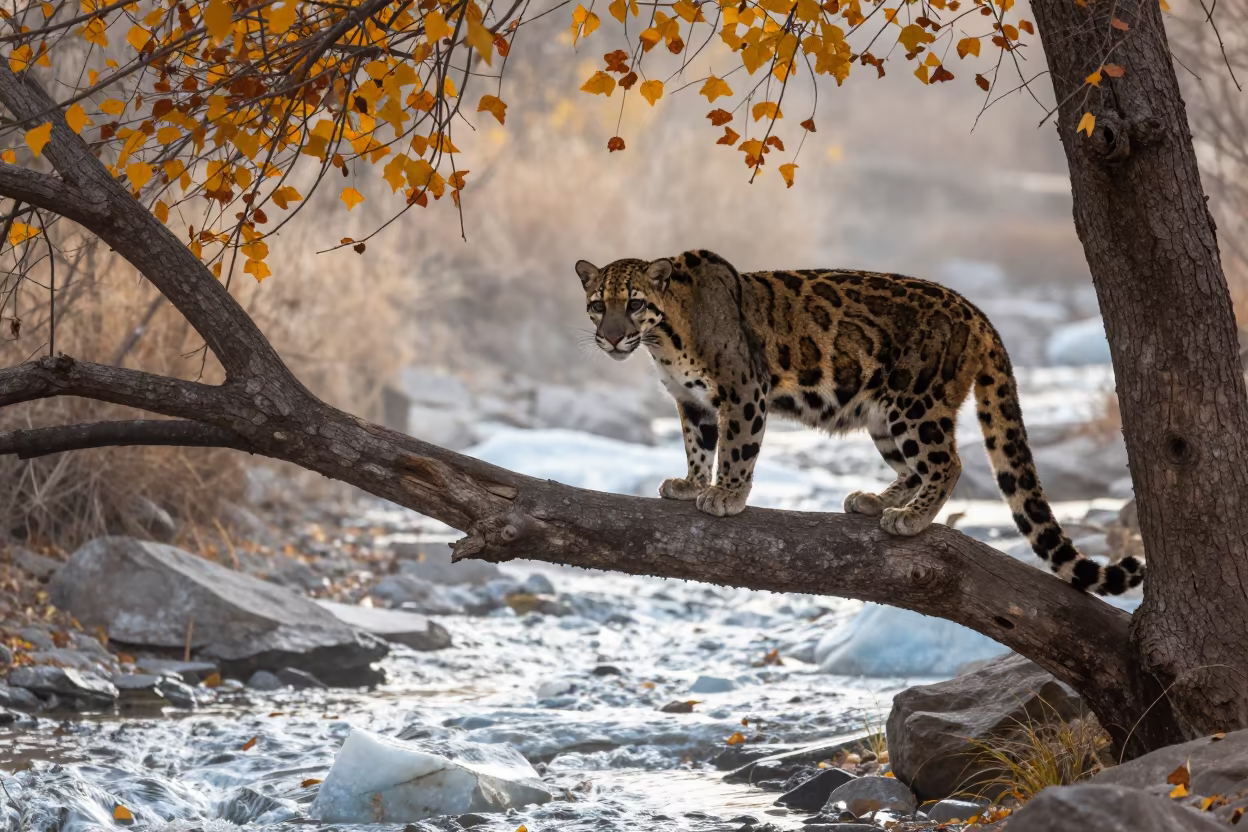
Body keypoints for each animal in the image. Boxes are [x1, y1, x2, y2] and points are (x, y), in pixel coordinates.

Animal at [574, 249, 1145, 596]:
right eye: (598, 305)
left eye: (635, 304)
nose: (610, 337)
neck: (663, 339)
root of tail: (976, 313)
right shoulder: (691, 403)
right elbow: (698, 444)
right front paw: (691, 483)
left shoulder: (743, 390)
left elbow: (736, 447)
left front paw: (725, 495)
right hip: (883, 416)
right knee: (915, 467)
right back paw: (876, 501)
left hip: (916, 404)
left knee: (948, 463)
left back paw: (911, 518)